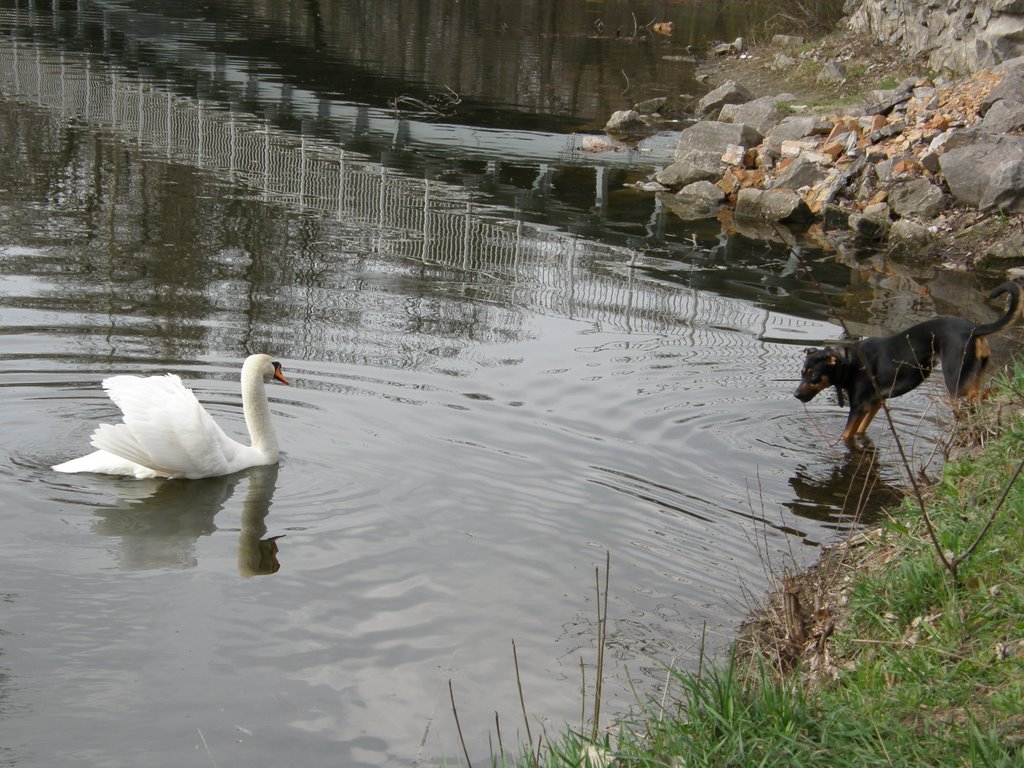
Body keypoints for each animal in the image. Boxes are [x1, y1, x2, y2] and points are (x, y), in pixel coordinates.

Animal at [798, 280, 1024, 438]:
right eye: (802, 373)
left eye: (814, 376)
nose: (796, 395)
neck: (850, 362)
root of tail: (975, 329)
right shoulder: (875, 404)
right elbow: (861, 431)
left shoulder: (858, 407)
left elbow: (845, 436)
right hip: (973, 376)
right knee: (980, 398)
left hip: (955, 383)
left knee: (974, 400)